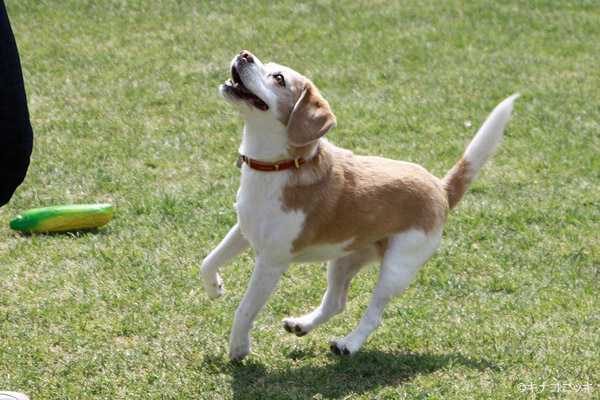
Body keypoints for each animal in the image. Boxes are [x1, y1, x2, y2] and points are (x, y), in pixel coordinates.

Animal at [204, 50, 516, 362]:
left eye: (279, 78)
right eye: (265, 63)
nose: (244, 54)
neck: (278, 165)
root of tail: (442, 187)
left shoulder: (271, 262)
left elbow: (244, 310)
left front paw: (238, 348)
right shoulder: (243, 231)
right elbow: (208, 261)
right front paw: (214, 289)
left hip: (397, 269)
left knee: (374, 315)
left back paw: (348, 344)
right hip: (343, 259)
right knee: (336, 302)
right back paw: (302, 325)